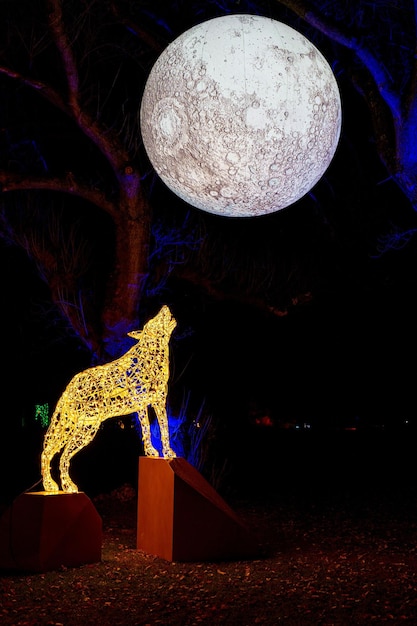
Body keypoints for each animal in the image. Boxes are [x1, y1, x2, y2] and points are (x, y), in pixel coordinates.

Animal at [41, 304, 177, 490]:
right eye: (154, 320)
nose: (165, 306)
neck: (151, 355)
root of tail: (70, 387)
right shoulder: (159, 400)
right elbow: (164, 429)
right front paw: (169, 453)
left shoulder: (141, 406)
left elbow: (146, 430)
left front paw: (151, 452)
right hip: (87, 428)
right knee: (61, 456)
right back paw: (67, 486)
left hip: (71, 424)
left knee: (48, 452)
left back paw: (51, 487)